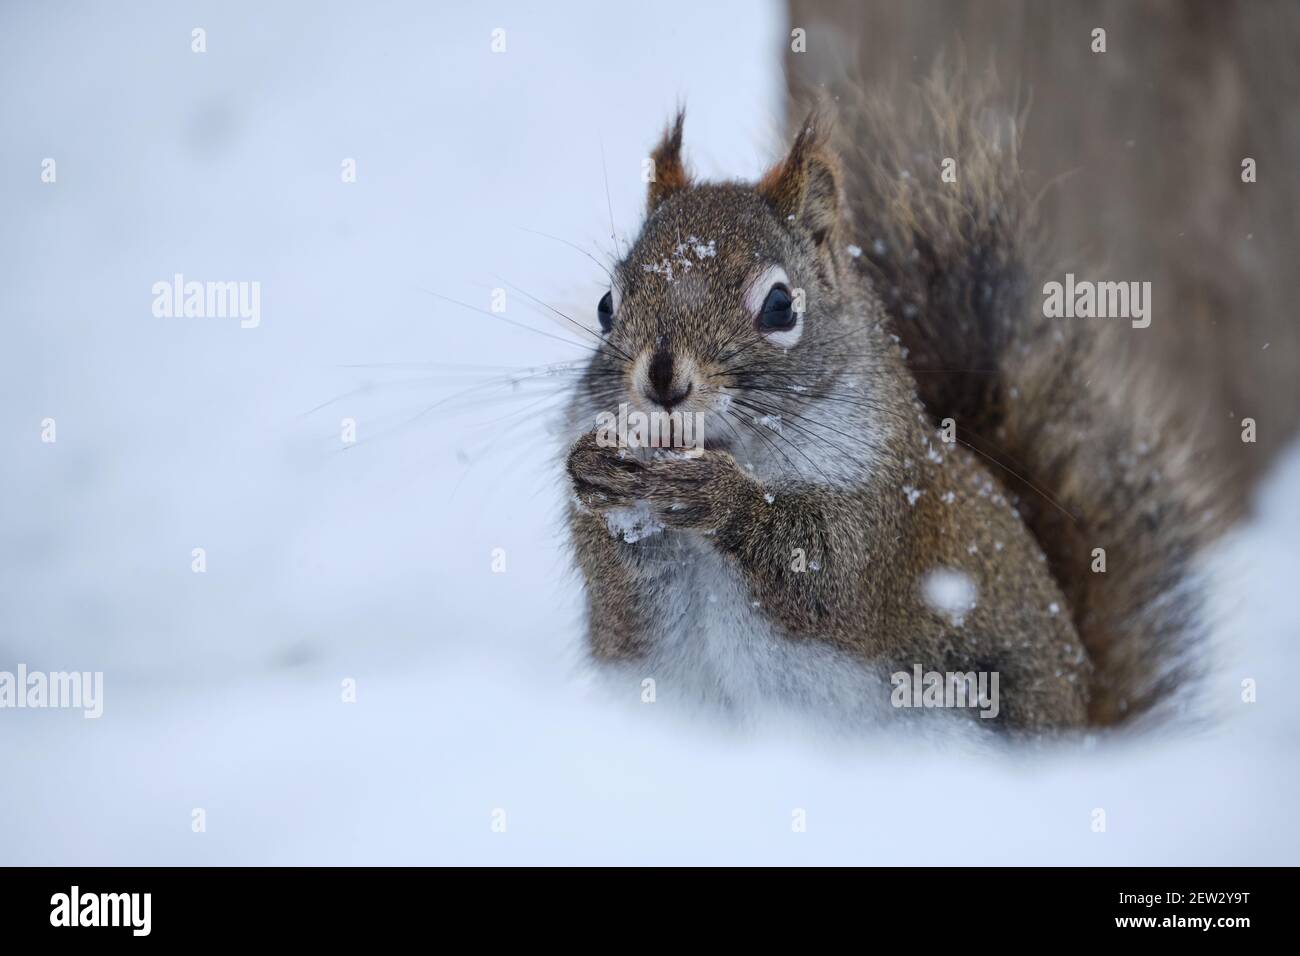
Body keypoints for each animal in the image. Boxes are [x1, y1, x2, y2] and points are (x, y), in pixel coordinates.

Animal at [563, 73, 1219, 733]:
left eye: (780, 307)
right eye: (605, 305)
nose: (662, 381)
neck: (737, 447)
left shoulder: (887, 508)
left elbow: (828, 573)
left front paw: (716, 494)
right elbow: (622, 602)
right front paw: (596, 472)